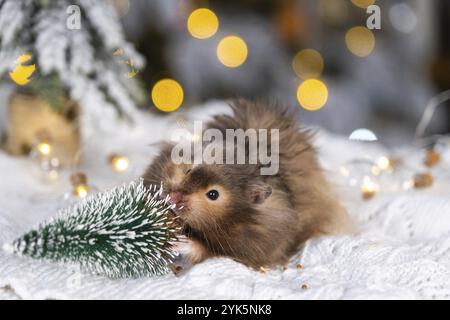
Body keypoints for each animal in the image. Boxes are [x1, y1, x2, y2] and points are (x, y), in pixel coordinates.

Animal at [144, 99, 352, 268]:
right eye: (188, 170)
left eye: (213, 194)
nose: (172, 198)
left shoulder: (251, 246)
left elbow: (208, 250)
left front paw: (180, 243)